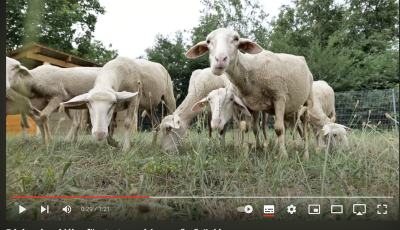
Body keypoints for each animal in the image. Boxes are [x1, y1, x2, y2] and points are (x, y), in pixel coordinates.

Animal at [186, 27, 314, 160]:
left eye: (236, 39)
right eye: (208, 41)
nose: (220, 59)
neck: (250, 70)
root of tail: (301, 58)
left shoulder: (279, 97)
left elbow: (279, 129)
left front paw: (283, 156)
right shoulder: (247, 104)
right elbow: (246, 128)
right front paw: (245, 155)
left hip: (307, 101)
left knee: (306, 129)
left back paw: (306, 155)